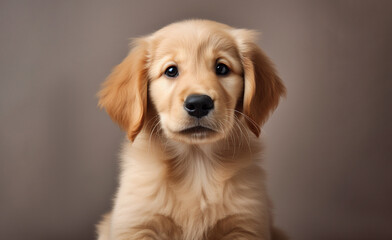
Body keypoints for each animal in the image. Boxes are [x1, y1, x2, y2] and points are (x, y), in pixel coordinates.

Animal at [96, 19, 286, 240]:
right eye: (171, 71)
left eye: (222, 68)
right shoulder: (137, 223)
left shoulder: (246, 224)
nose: (199, 104)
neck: (196, 163)